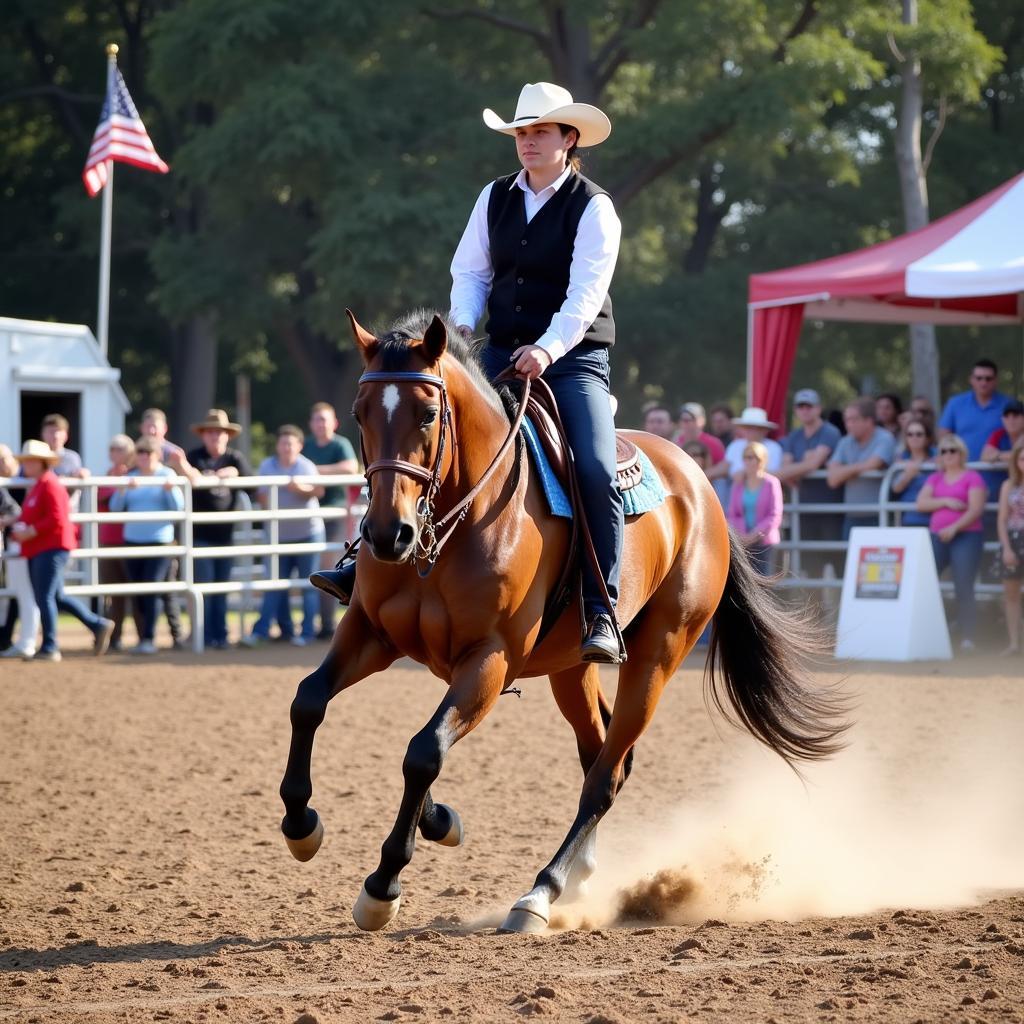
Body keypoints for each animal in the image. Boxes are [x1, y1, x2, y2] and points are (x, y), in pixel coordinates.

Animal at [276, 309, 843, 937]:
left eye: (427, 413)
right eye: (360, 414)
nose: (385, 534)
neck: (458, 521)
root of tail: (701, 487)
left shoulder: (490, 661)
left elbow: (424, 751)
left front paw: (383, 885)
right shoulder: (372, 634)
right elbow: (308, 701)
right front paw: (306, 825)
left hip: (656, 658)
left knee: (604, 778)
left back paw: (540, 893)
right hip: (571, 669)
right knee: (601, 752)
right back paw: (575, 876)